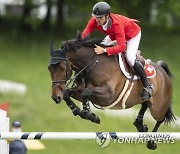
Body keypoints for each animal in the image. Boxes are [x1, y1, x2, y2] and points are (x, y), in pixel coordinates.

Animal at [47, 30, 176, 150]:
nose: (55, 97)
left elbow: (86, 92)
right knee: (145, 103)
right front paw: (80, 112)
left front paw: (90, 115)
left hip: (157, 108)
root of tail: (163, 72)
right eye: (49, 68)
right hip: (146, 100)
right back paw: (140, 125)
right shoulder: (80, 90)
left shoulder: (108, 96)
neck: (93, 64)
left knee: (160, 118)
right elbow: (68, 94)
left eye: (62, 68)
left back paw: (151, 142)